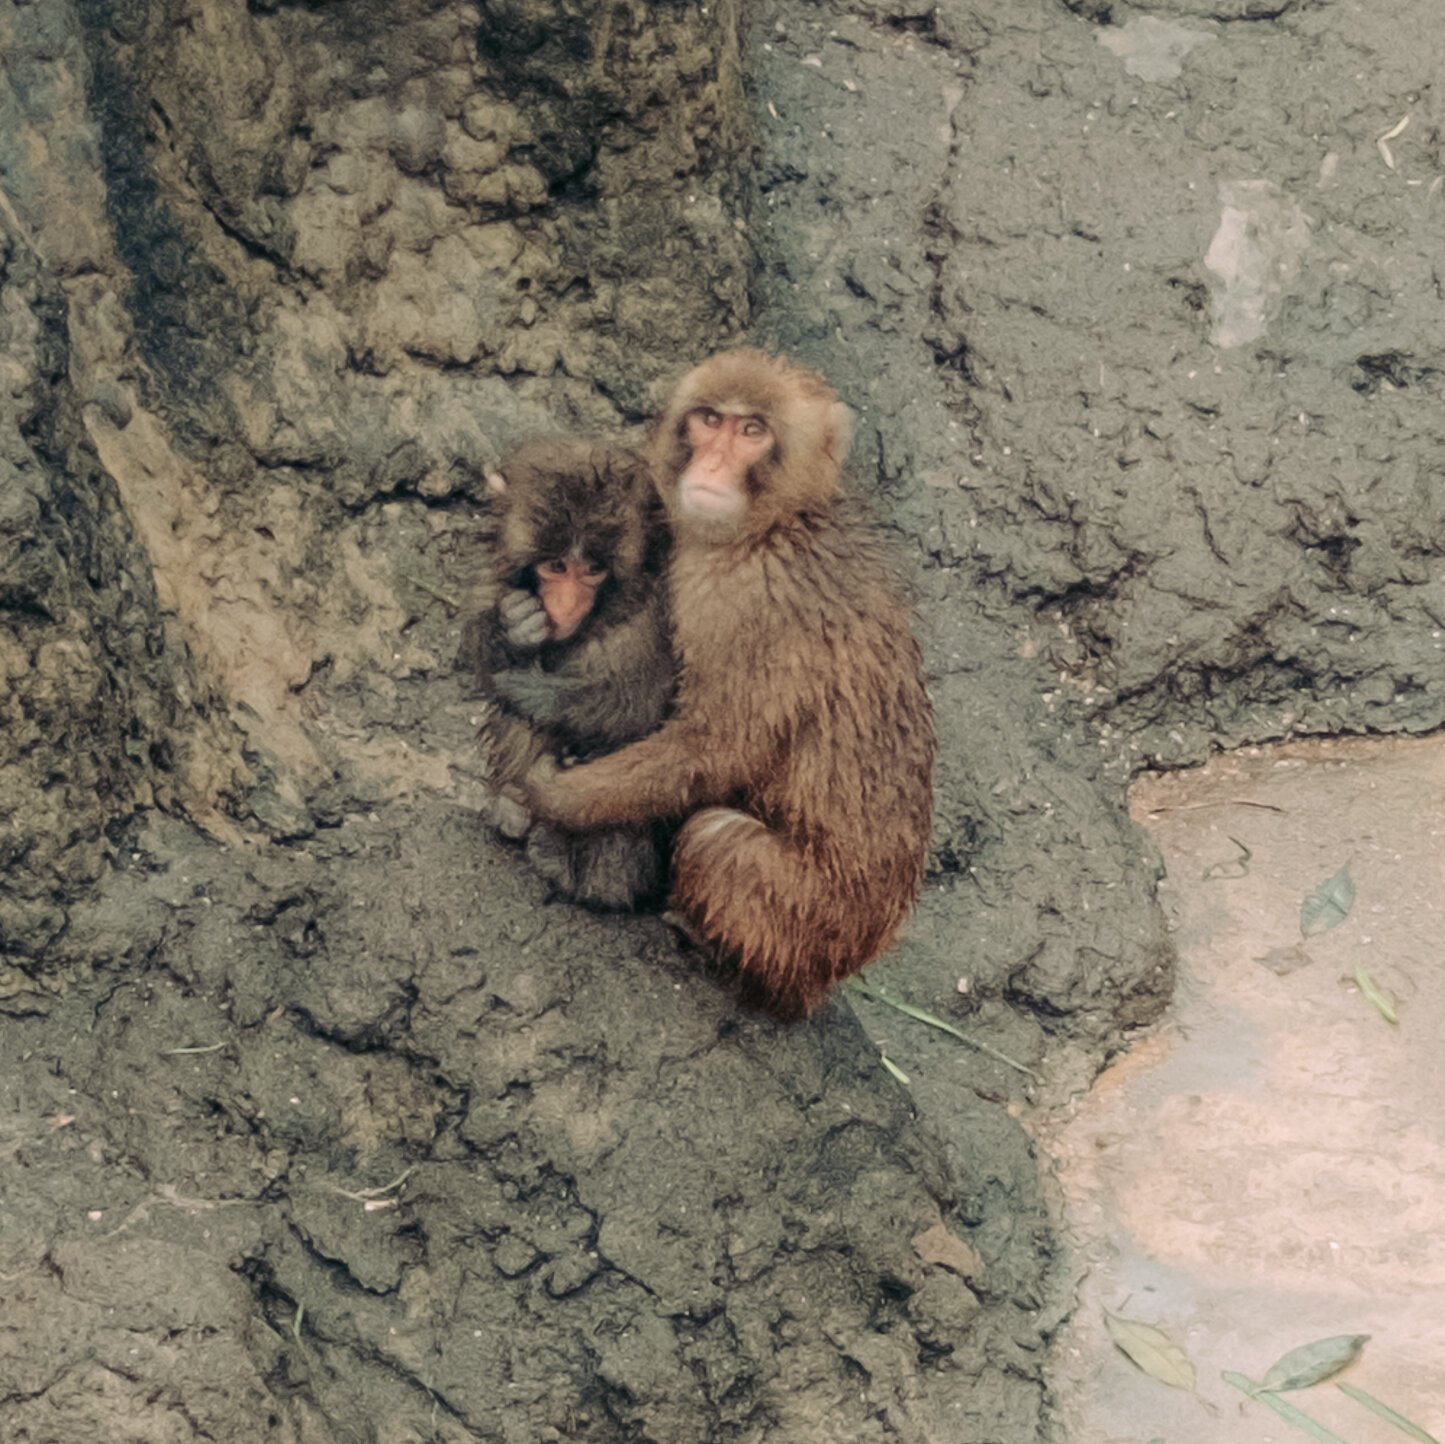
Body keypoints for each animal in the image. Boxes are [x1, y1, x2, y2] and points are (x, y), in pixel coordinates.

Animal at [458, 436, 676, 908]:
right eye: (556, 566)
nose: (566, 605)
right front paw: (512, 627)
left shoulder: (653, 618)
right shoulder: (497, 577)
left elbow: (639, 706)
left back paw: (590, 877)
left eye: (593, 570)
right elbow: (482, 653)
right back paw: (513, 810)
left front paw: (534, 692)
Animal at [523, 351, 935, 1018]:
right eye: (710, 420)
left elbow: (717, 746)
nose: (712, 464)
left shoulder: (744, 604)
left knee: (718, 838)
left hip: (807, 926)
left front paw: (556, 795)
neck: (772, 527)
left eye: (752, 431)